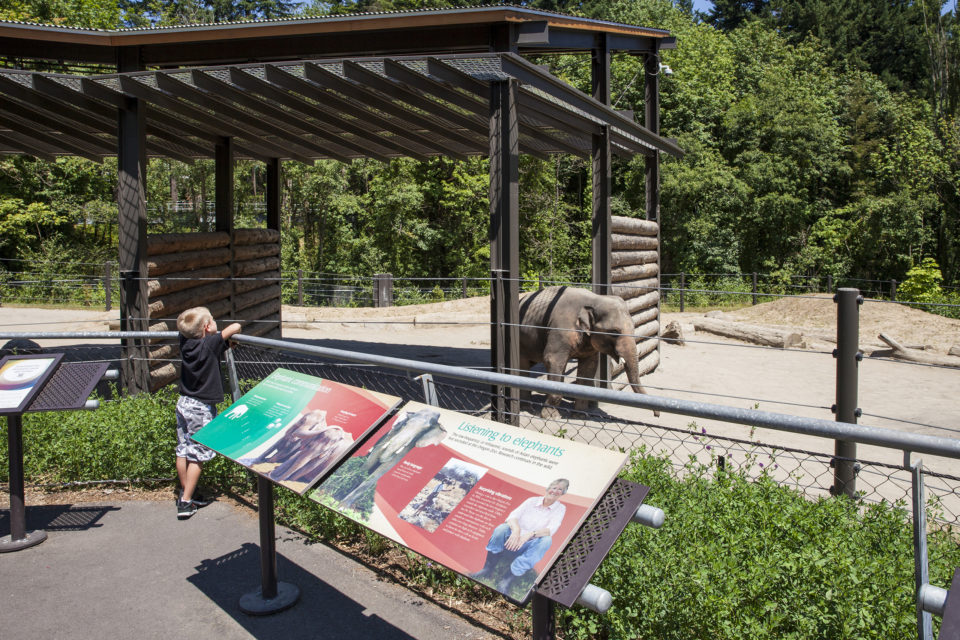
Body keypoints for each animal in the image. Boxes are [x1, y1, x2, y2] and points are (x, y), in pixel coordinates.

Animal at [516, 286, 660, 420]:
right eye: (614, 332)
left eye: (634, 327)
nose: (656, 415)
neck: (594, 299)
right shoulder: (560, 331)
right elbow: (552, 360)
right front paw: (552, 417)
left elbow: (589, 367)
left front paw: (580, 415)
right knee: (523, 366)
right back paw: (526, 407)